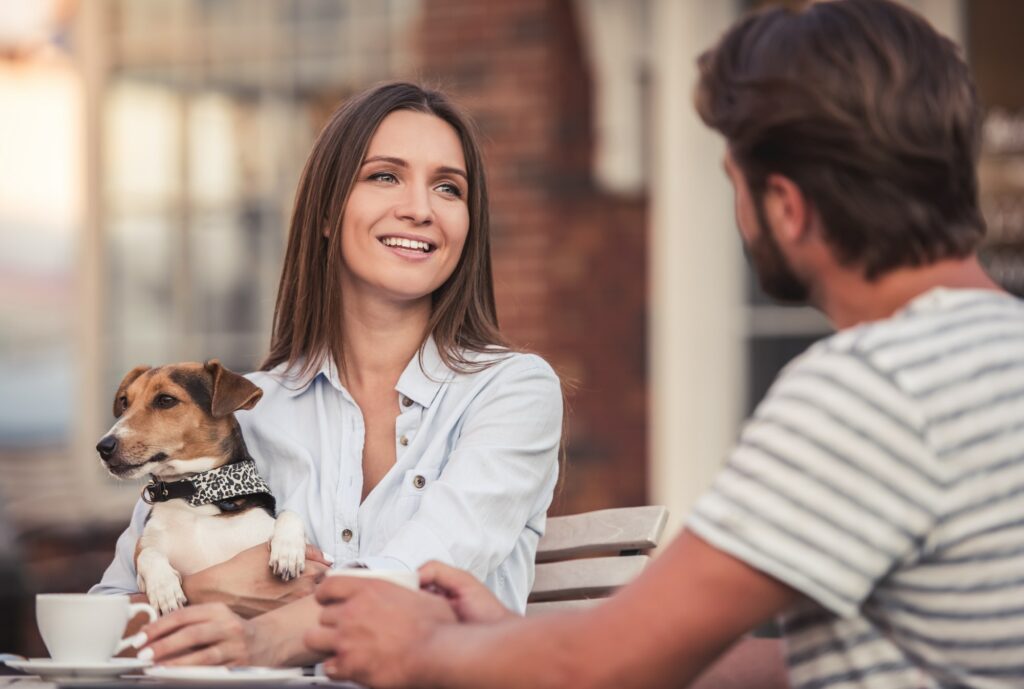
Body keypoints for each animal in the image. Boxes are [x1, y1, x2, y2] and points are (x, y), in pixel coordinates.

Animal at [97, 360, 305, 614]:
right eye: (125, 402)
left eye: (165, 400)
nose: (103, 447)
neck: (195, 495)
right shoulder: (146, 549)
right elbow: (146, 554)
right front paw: (164, 589)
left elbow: (289, 515)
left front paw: (288, 551)